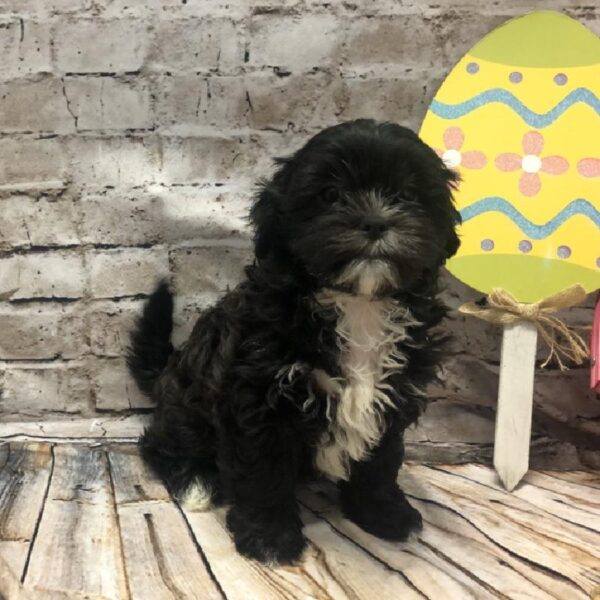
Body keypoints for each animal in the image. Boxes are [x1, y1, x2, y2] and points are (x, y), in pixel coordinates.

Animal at [127, 119, 460, 564]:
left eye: (406, 194)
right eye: (330, 195)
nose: (374, 221)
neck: (358, 305)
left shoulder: (393, 395)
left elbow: (380, 461)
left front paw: (383, 513)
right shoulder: (260, 398)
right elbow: (264, 472)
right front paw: (269, 538)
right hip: (187, 409)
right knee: (159, 444)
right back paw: (196, 482)